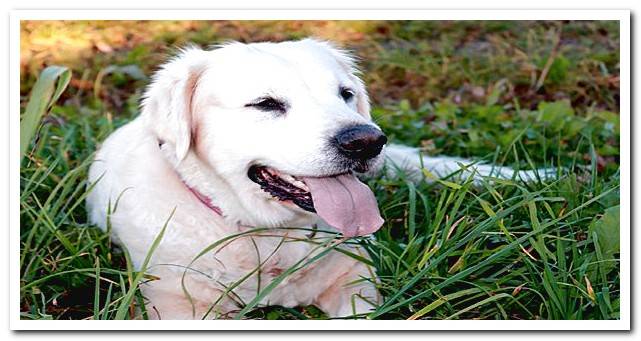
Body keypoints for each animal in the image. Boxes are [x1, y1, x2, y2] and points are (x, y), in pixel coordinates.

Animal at [86, 37, 544, 318]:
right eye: (266, 104)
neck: (269, 236)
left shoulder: (356, 279)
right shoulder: (178, 301)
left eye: (345, 94)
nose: (366, 141)